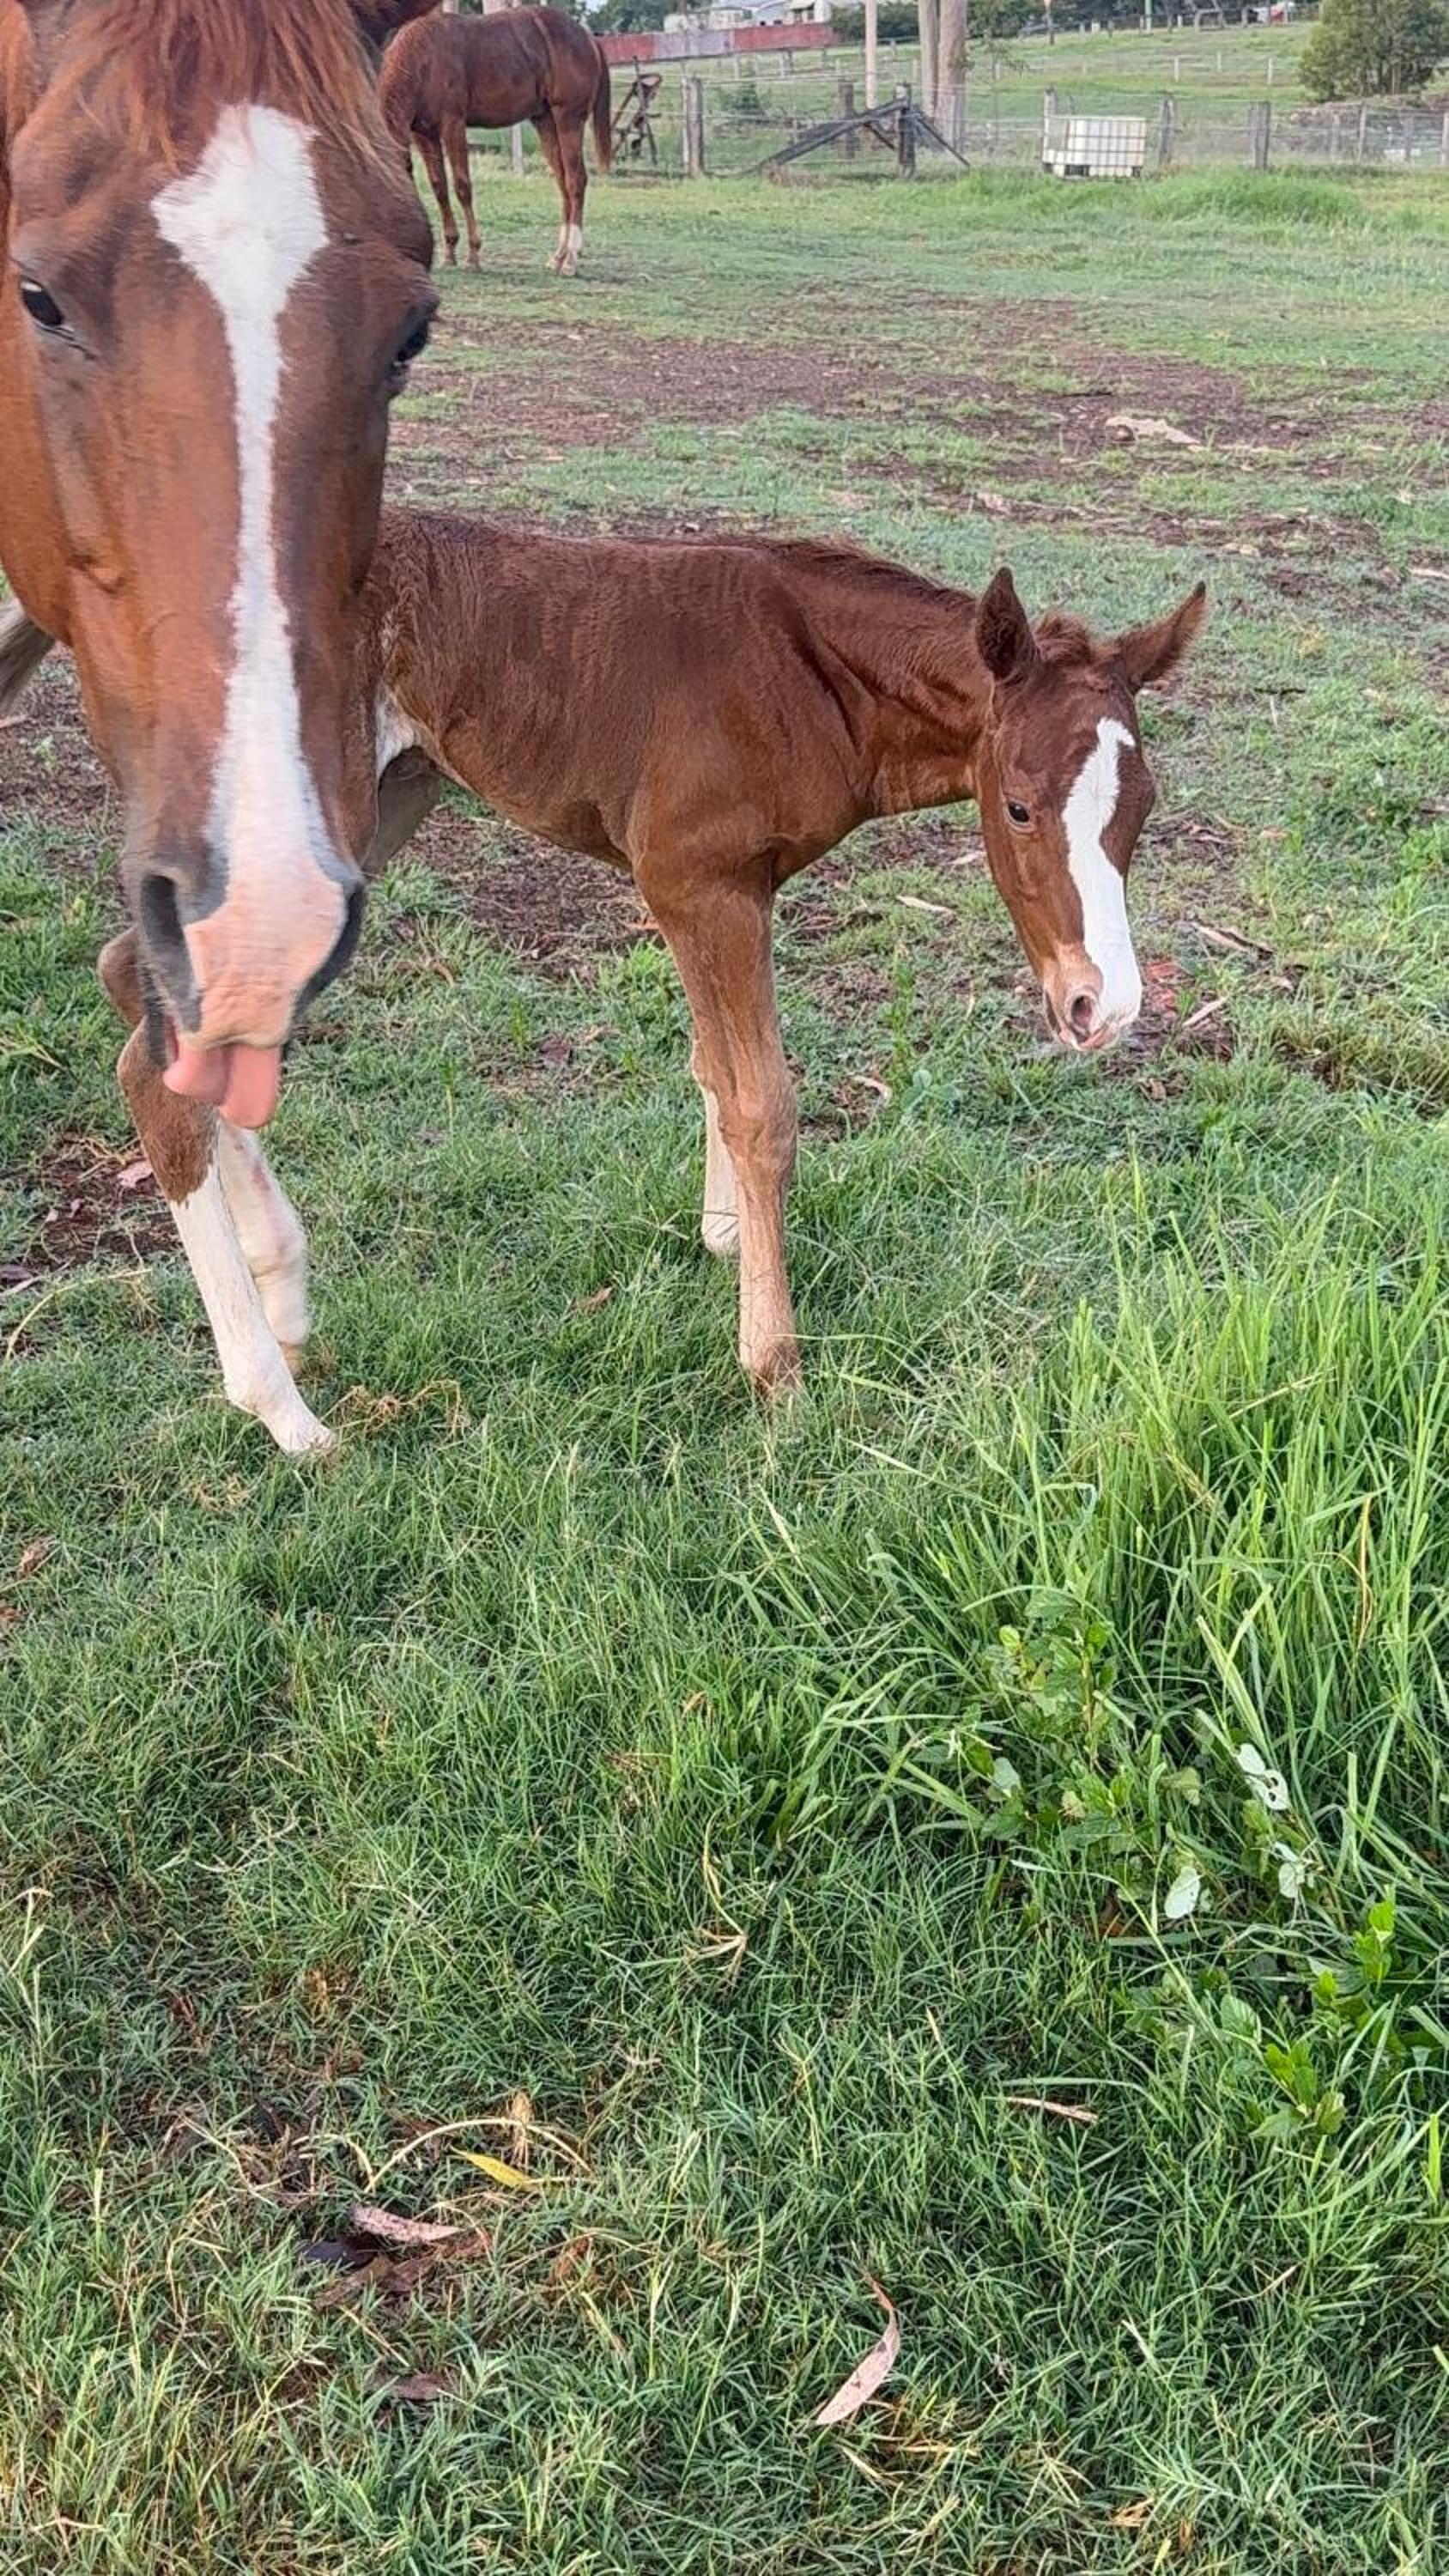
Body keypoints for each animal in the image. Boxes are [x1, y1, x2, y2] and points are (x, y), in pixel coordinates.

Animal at [379, 4, 612, 278]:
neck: (423, 59)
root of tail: (586, 36)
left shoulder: (453, 126)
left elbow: (462, 187)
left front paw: (473, 255)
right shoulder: (424, 136)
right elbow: (439, 188)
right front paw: (449, 253)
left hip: (569, 120)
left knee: (576, 181)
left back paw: (571, 259)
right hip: (546, 123)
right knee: (563, 181)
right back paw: (558, 256)